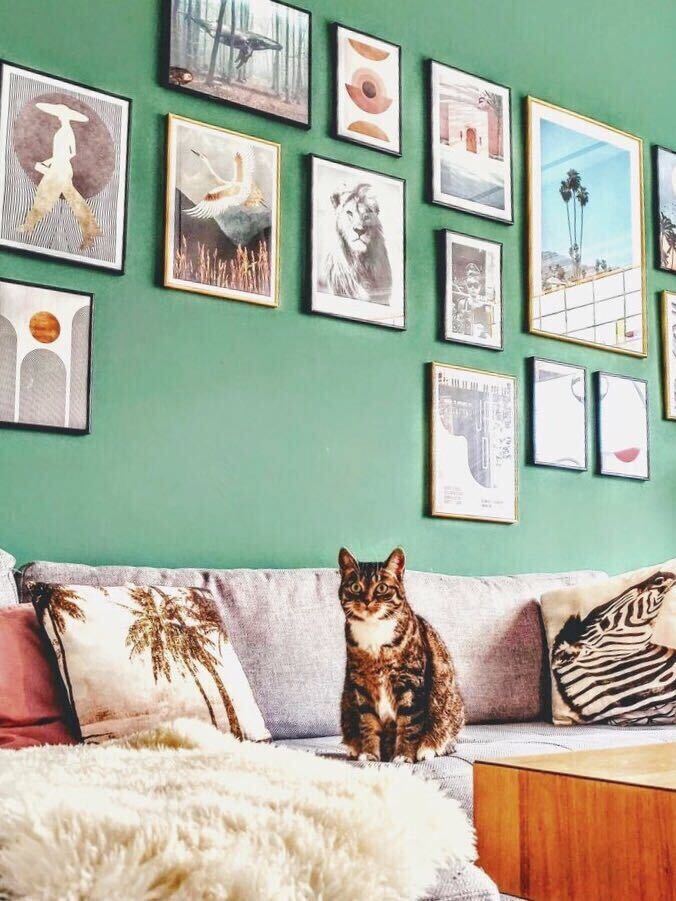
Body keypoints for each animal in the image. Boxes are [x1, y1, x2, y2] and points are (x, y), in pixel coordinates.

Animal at [338, 544, 464, 764]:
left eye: (381, 588)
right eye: (355, 587)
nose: (367, 601)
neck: (374, 633)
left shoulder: (411, 682)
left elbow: (410, 723)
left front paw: (404, 756)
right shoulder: (361, 684)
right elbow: (367, 721)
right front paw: (369, 754)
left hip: (450, 707)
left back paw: (428, 749)